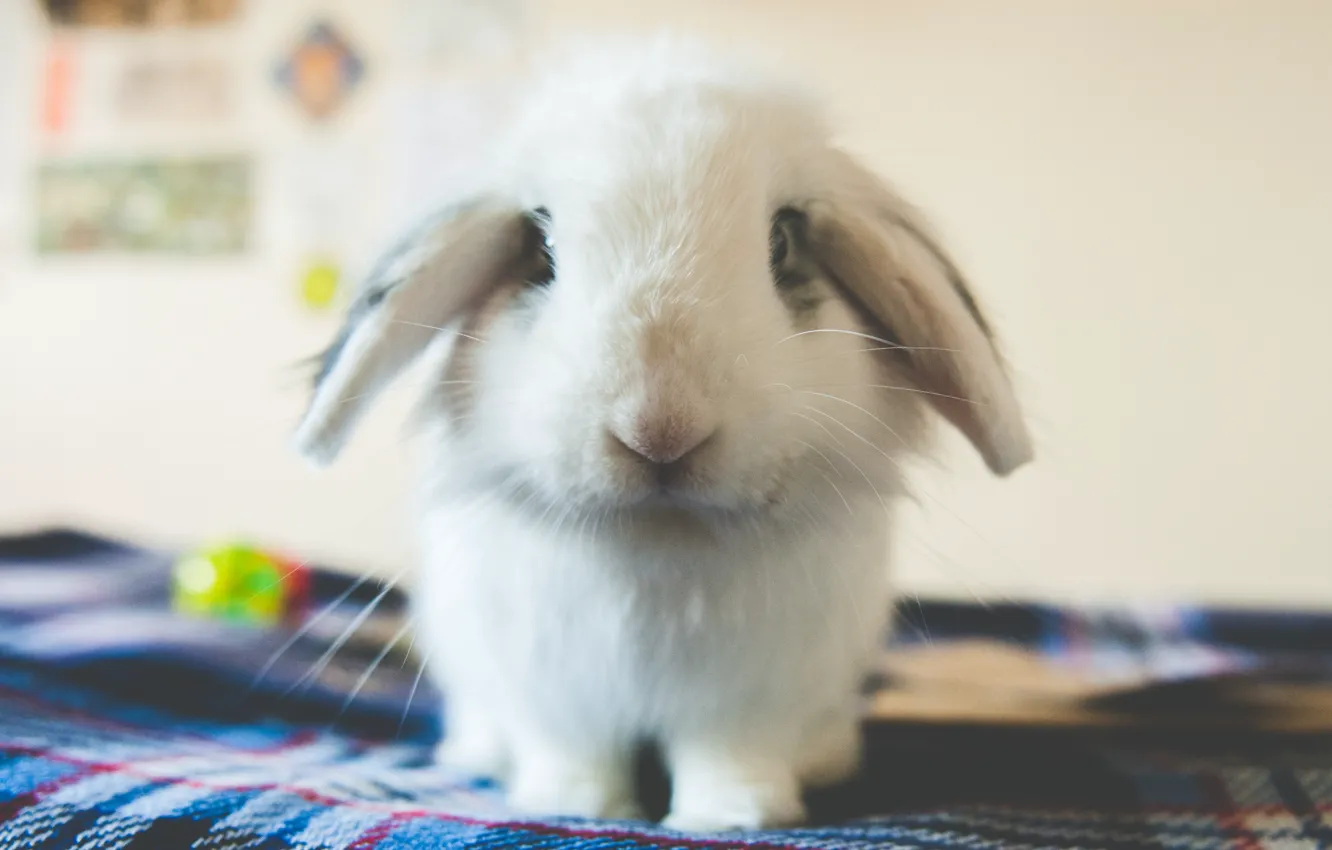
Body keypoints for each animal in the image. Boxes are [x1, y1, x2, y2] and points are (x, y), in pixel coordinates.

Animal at [293, 33, 1032, 832]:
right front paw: (576, 808)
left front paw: (734, 818)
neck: (662, 539)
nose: (660, 430)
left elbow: (729, 758)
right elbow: (576, 755)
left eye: (781, 242)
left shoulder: (750, 704)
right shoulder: (558, 696)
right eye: (540, 250)